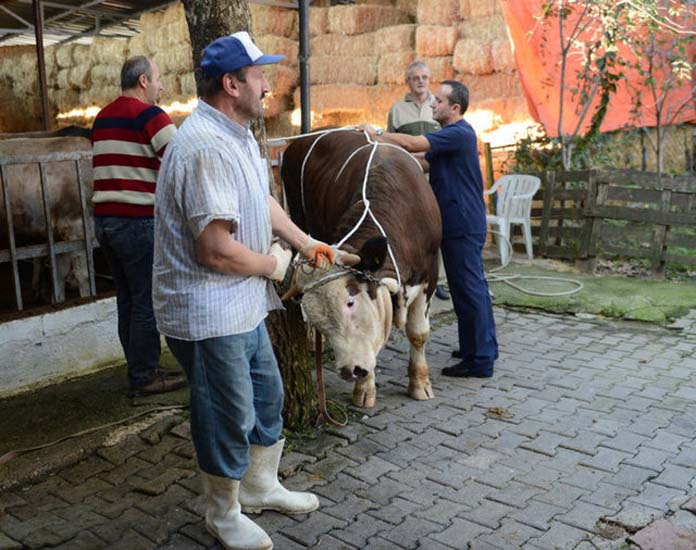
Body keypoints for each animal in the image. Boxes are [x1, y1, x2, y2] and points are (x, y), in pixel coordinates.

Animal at [282, 132, 440, 410]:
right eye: (318, 317)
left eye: (350, 302)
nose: (349, 371)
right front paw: (364, 389)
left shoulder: (429, 274)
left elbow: (418, 333)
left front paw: (420, 383)